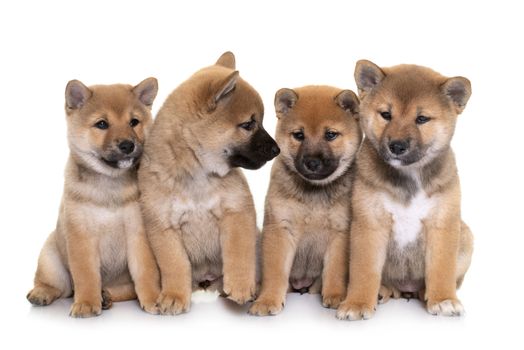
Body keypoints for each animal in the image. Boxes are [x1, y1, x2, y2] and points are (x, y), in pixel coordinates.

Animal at [26, 77, 161, 318]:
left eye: (134, 122)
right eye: (102, 124)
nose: (128, 145)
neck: (109, 185)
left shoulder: (138, 233)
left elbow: (146, 272)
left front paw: (154, 299)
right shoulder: (81, 235)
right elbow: (86, 275)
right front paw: (87, 303)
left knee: (123, 290)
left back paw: (106, 297)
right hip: (50, 255)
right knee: (58, 286)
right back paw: (42, 293)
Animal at [137, 51, 280, 314]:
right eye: (248, 124)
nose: (277, 150)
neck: (198, 174)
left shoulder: (236, 211)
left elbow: (238, 252)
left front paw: (241, 285)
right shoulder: (163, 227)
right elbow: (175, 265)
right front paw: (174, 295)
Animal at [249, 86, 362, 316]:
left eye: (330, 135)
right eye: (299, 135)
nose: (312, 162)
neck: (314, 193)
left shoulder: (340, 233)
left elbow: (335, 270)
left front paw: (336, 296)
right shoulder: (280, 228)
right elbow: (275, 272)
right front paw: (268, 300)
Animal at [336, 60, 474, 320]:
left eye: (422, 119)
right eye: (386, 115)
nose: (397, 146)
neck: (409, 177)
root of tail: (405, 289)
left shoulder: (442, 222)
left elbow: (442, 268)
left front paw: (443, 299)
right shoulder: (370, 222)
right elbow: (364, 270)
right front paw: (357, 303)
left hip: (466, 236)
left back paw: (425, 292)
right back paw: (382, 291)